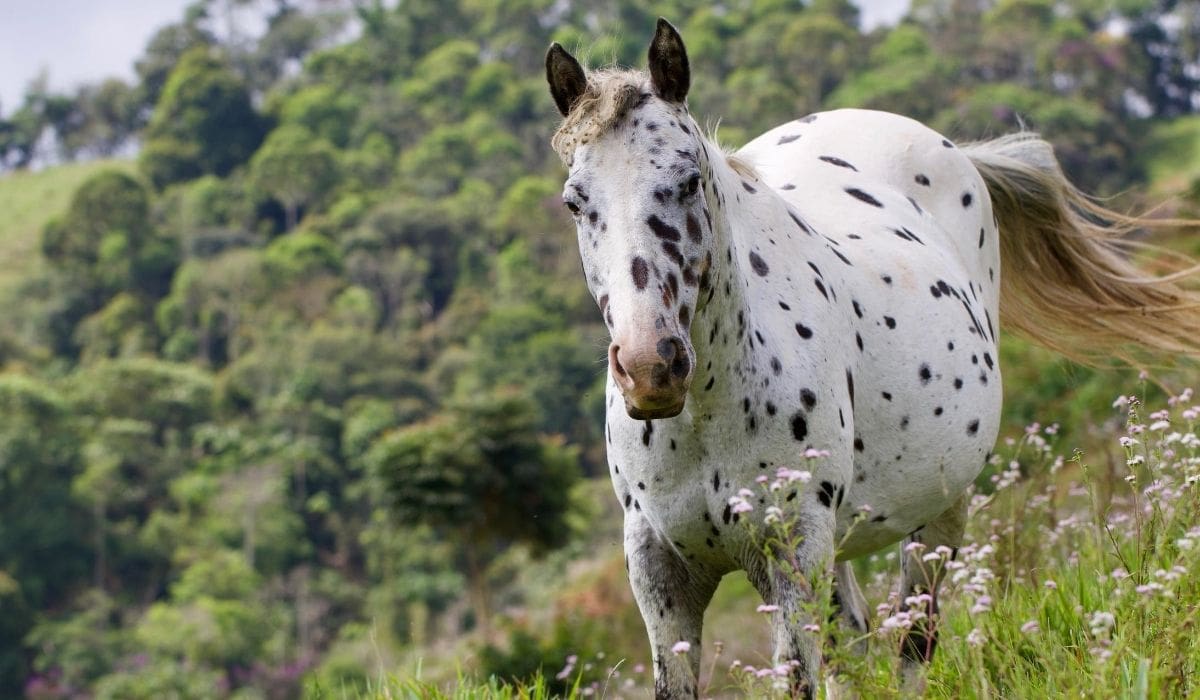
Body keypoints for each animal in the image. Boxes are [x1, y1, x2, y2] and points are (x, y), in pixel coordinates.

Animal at [545, 18, 1200, 698]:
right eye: (575, 202)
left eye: (689, 180)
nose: (651, 368)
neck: (707, 413)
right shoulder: (662, 577)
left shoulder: (793, 553)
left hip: (938, 513)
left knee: (914, 639)